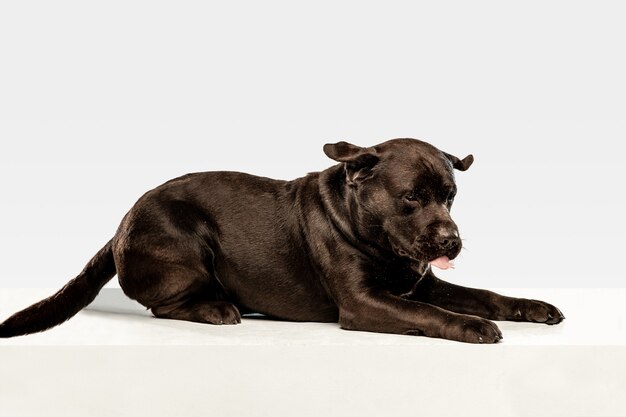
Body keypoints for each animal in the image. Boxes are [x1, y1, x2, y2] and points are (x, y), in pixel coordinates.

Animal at [0, 138, 564, 340]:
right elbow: (431, 314)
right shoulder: (364, 303)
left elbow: (486, 294)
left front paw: (532, 307)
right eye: (411, 197)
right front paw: (473, 326)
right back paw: (218, 309)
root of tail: (120, 224)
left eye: (450, 196)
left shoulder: (422, 283)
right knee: (165, 306)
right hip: (186, 242)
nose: (451, 241)